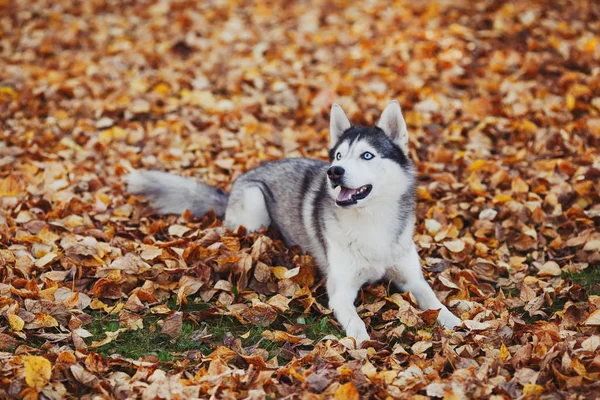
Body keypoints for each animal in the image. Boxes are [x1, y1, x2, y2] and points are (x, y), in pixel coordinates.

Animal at [126, 101, 462, 344]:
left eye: (367, 155)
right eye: (339, 155)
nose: (334, 172)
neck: (371, 221)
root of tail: (235, 184)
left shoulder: (410, 277)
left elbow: (431, 297)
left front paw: (454, 320)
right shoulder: (340, 291)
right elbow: (354, 319)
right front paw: (361, 339)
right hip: (255, 204)